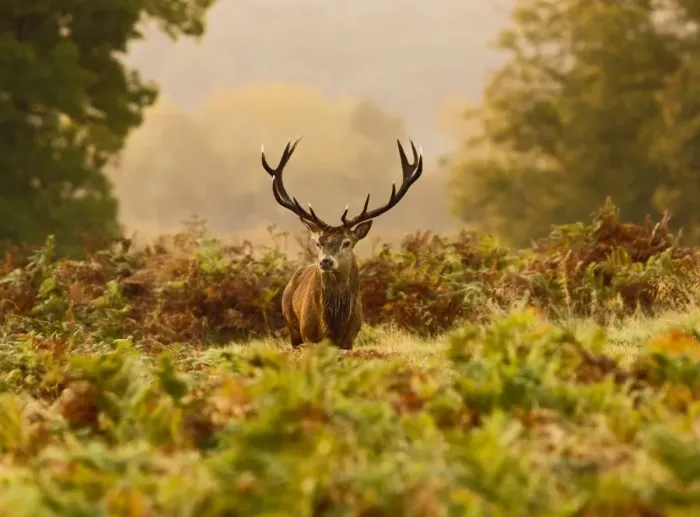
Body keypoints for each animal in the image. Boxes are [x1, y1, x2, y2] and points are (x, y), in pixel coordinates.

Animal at [260, 136, 423, 350]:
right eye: (318, 243)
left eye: (347, 243)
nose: (325, 261)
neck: (332, 327)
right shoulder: (309, 336)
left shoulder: (350, 339)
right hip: (292, 326)